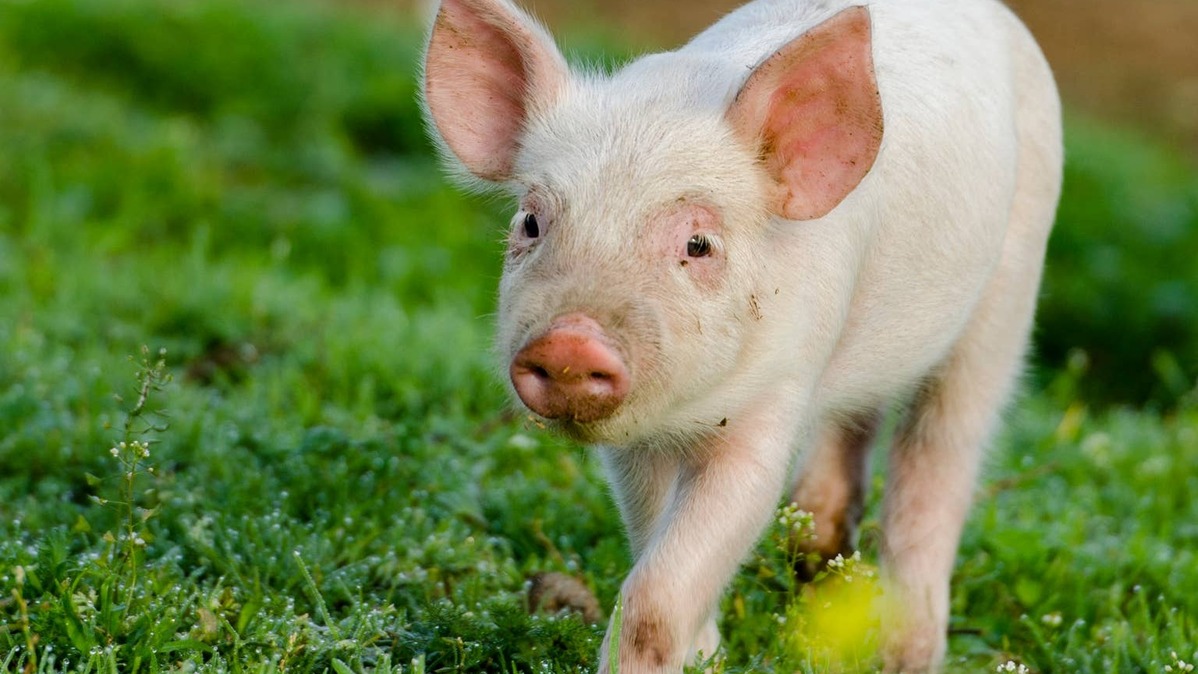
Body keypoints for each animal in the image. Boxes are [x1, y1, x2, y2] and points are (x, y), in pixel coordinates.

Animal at [421, 0, 1062, 670]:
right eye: (531, 221)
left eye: (699, 243)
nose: (569, 340)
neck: (696, 407)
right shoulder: (636, 443)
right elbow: (653, 535)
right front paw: (708, 653)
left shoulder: (774, 398)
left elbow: (658, 592)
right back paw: (816, 552)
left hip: (1009, 291)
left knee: (939, 455)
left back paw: (903, 653)